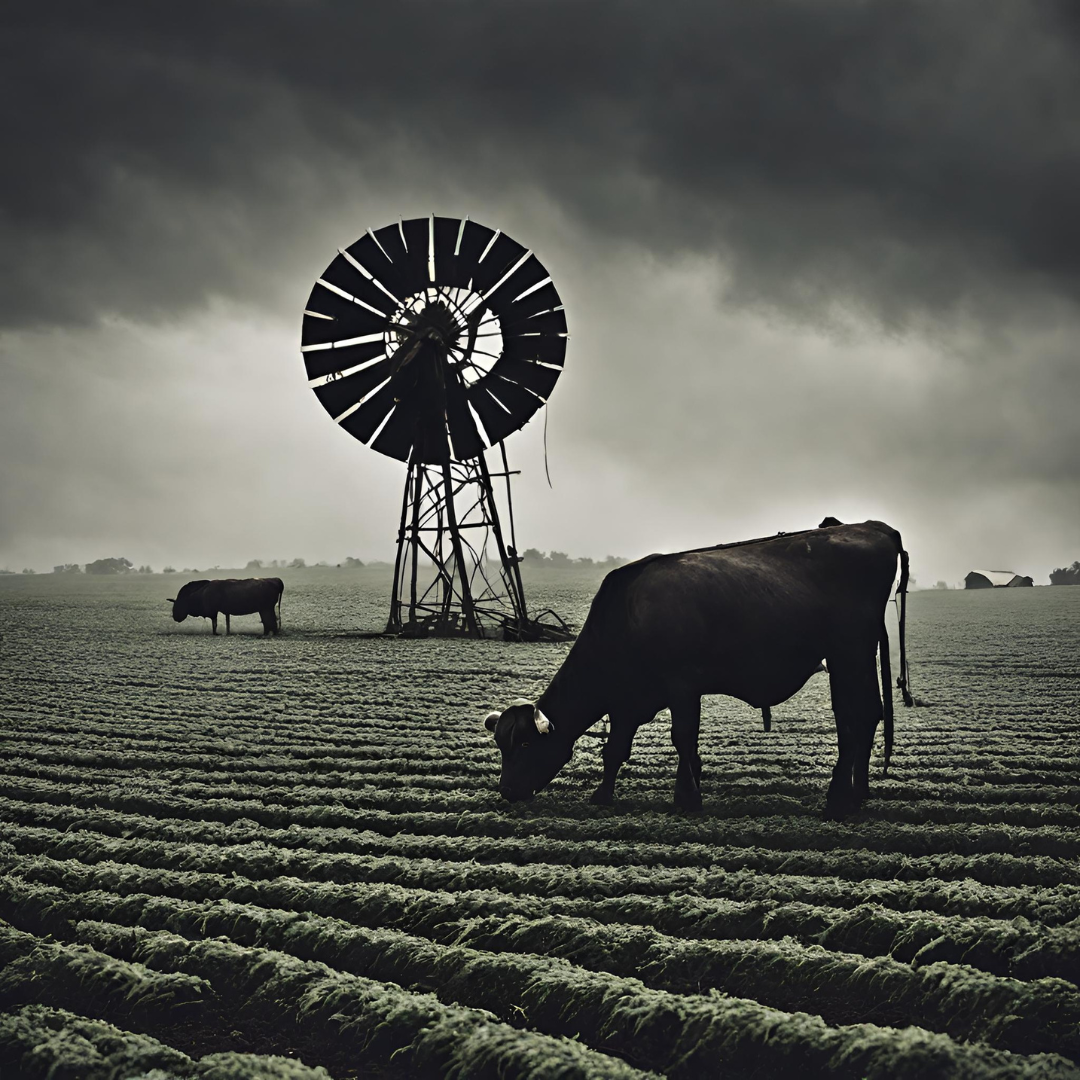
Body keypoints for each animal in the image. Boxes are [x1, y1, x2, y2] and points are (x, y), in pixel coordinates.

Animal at [483, 516, 911, 816]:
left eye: (524, 743)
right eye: (500, 745)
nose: (506, 791)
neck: (626, 614)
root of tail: (873, 526)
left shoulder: (682, 686)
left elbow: (682, 738)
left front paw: (687, 799)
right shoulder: (628, 700)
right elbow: (616, 749)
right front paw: (603, 795)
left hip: (848, 653)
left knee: (854, 718)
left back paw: (838, 801)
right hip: (855, 656)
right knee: (868, 713)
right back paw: (857, 793)